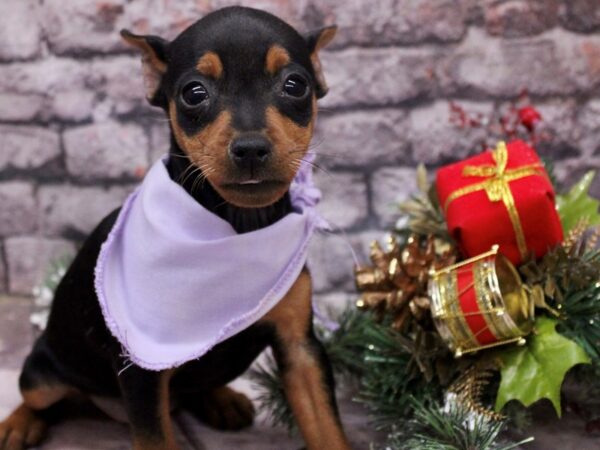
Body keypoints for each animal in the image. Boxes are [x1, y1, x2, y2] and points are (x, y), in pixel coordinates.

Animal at [0, 6, 352, 450]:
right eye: (194, 93)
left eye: (296, 85)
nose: (251, 148)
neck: (239, 222)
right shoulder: (141, 367)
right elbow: (156, 437)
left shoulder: (301, 347)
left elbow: (327, 426)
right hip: (43, 373)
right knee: (41, 398)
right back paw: (18, 423)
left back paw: (221, 399)